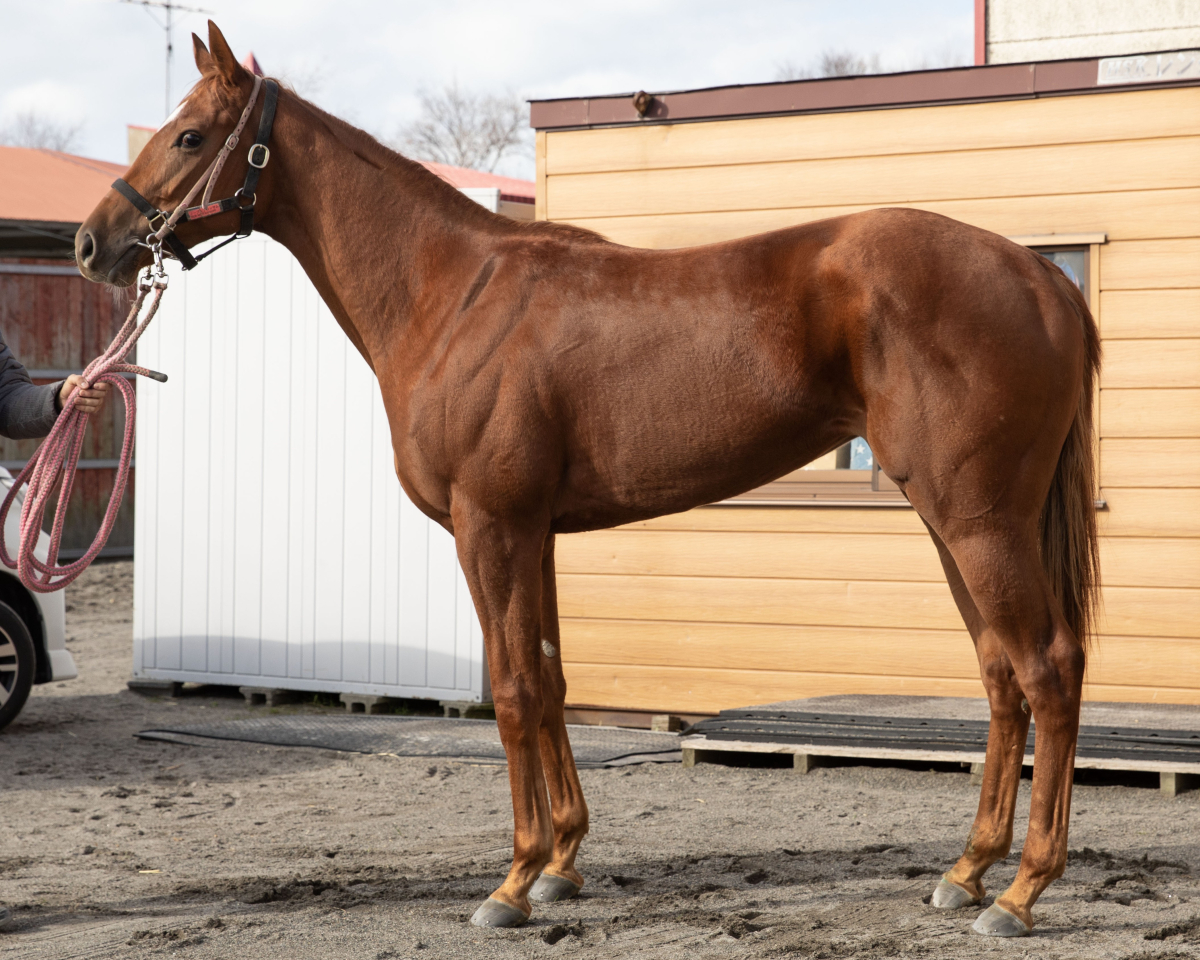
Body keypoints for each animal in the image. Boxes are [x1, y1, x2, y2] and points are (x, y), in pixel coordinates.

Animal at [76, 22, 1100, 938]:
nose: (93, 243)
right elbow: (553, 678)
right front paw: (563, 861)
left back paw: (1019, 894)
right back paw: (967, 871)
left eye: (190, 136)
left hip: (977, 522)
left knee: (1047, 669)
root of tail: (1041, 278)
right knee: (1001, 675)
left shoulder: (489, 527)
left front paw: (514, 882)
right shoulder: (536, 533)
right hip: (952, 524)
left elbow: (511, 687)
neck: (454, 295)